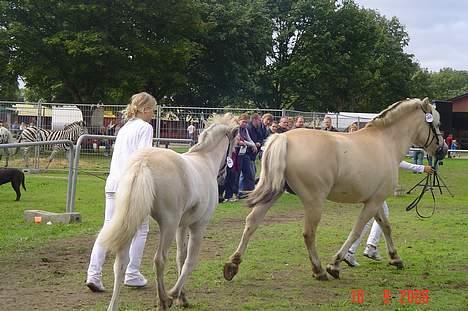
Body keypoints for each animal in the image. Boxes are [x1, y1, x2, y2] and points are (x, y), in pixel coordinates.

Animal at [98, 115, 238, 311]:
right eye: (234, 145)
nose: (223, 176)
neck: (204, 160)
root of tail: (143, 162)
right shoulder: (198, 226)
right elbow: (189, 261)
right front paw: (174, 294)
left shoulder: (182, 226)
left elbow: (181, 257)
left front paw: (182, 297)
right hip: (168, 225)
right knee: (159, 260)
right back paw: (164, 300)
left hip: (132, 222)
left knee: (121, 263)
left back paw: (114, 305)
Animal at [225, 99, 448, 282]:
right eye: (437, 125)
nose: (443, 150)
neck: (386, 143)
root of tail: (284, 138)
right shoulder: (373, 202)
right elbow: (357, 230)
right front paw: (335, 264)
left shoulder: (375, 201)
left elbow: (385, 226)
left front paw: (395, 259)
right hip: (314, 201)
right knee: (308, 233)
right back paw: (319, 271)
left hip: (274, 192)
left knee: (252, 222)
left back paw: (232, 265)